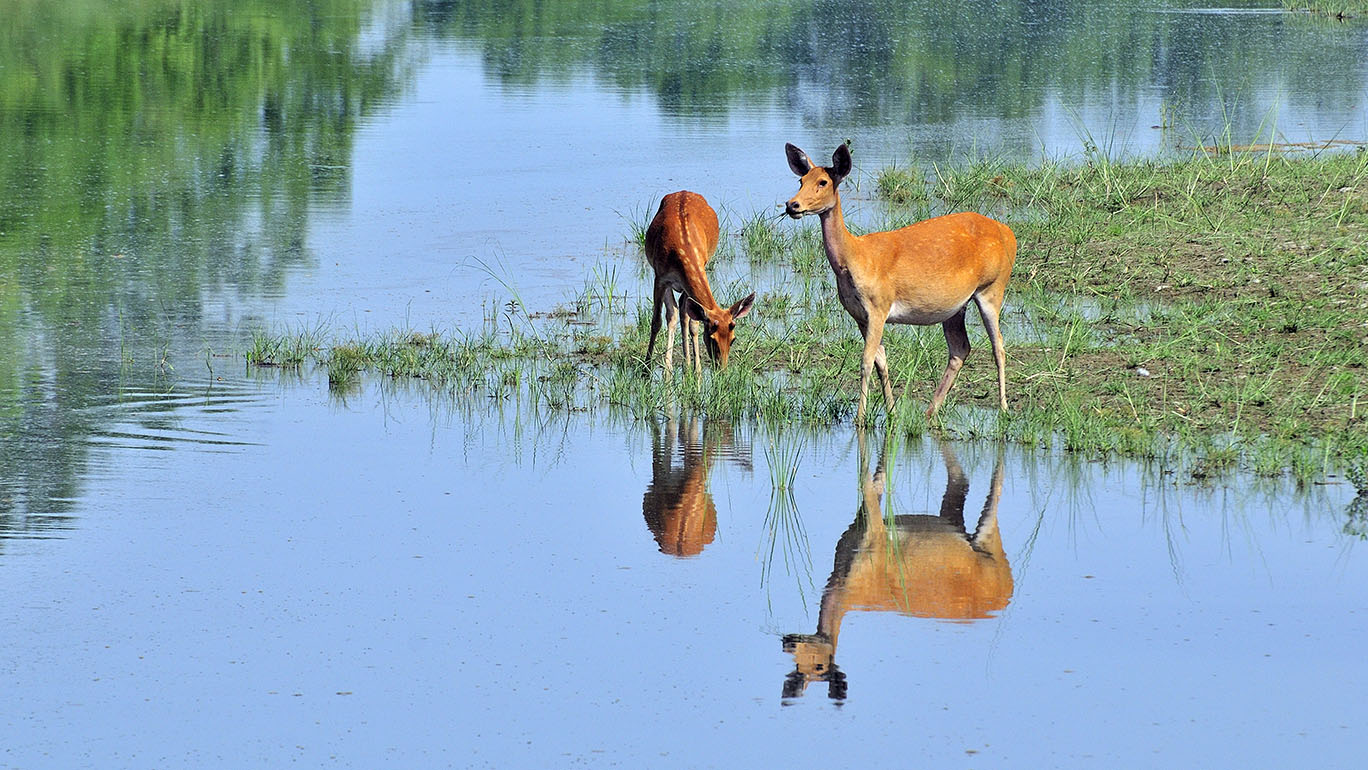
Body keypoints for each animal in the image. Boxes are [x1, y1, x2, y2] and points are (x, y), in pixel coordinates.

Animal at [642, 190, 760, 377]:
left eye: (733, 339)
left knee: (681, 312)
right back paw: (670, 367)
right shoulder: (660, 277)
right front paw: (646, 370)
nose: (722, 371)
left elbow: (693, 323)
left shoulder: (699, 269)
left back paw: (686, 363)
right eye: (712, 339)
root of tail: (683, 191)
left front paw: (696, 369)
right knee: (673, 313)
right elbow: (656, 322)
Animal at [777, 434, 1012, 705]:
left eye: (819, 666)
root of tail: (1008, 587)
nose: (788, 643)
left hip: (991, 539)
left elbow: (869, 481)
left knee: (995, 488)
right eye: (798, 668)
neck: (848, 586)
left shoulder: (877, 531)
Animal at [782, 142, 1017, 423]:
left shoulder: (878, 305)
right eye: (801, 180)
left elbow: (865, 361)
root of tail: (1010, 234)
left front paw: (861, 419)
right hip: (955, 306)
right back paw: (930, 410)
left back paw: (1004, 407)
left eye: (823, 182)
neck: (854, 258)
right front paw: (891, 411)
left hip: (993, 287)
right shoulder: (859, 315)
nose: (792, 204)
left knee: (998, 345)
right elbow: (881, 361)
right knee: (960, 349)